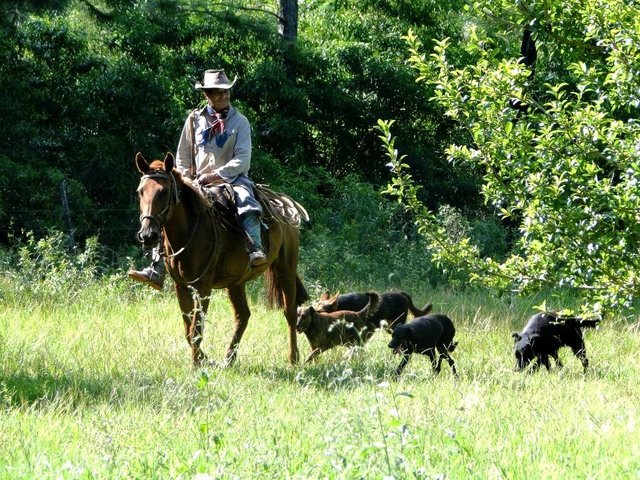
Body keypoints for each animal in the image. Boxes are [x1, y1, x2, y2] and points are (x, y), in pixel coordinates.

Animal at [134, 152, 308, 366]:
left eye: (165, 192)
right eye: (141, 192)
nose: (148, 235)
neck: (189, 231)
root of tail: (282, 203)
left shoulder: (203, 287)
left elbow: (196, 327)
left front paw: (197, 363)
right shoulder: (181, 286)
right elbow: (188, 328)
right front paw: (203, 358)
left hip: (286, 268)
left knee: (290, 311)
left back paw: (293, 357)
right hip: (236, 282)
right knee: (243, 315)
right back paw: (228, 359)